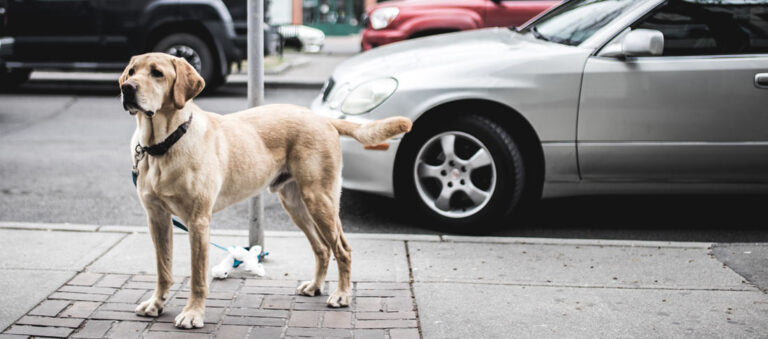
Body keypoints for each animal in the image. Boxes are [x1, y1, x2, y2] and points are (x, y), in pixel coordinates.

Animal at [118, 53, 414, 330]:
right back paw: (316, 286)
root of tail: (322, 118)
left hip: (320, 199)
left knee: (342, 248)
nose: (126, 88)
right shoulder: (157, 218)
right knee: (321, 248)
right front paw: (156, 303)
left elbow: (197, 276)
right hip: (295, 204)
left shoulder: (198, 221)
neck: (162, 145)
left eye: (157, 73)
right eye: (131, 71)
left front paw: (193, 314)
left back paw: (342, 294)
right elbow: (163, 269)